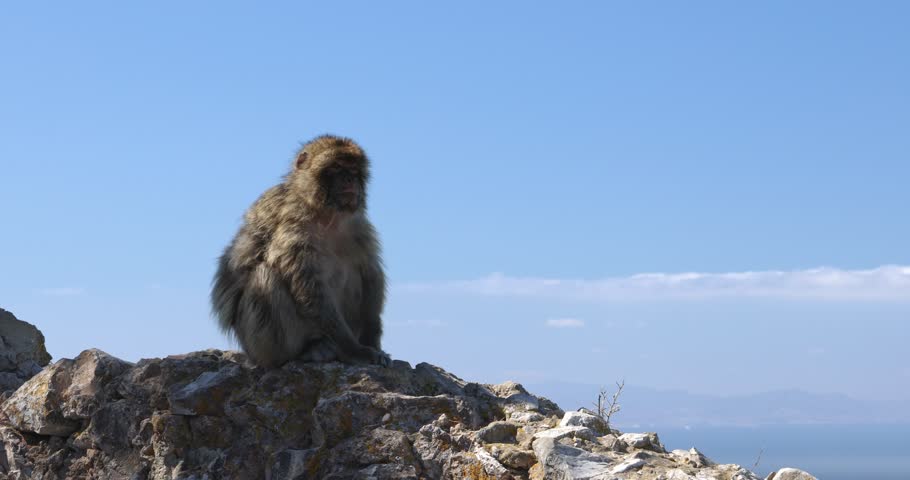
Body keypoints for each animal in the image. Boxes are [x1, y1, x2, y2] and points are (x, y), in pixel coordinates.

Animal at [211, 135, 390, 368]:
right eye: (336, 167)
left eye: (353, 169)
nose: (350, 180)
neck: (326, 214)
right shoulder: (295, 222)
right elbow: (307, 285)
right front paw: (354, 350)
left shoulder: (359, 226)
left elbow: (370, 272)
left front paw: (373, 341)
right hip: (258, 344)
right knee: (265, 276)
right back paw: (306, 350)